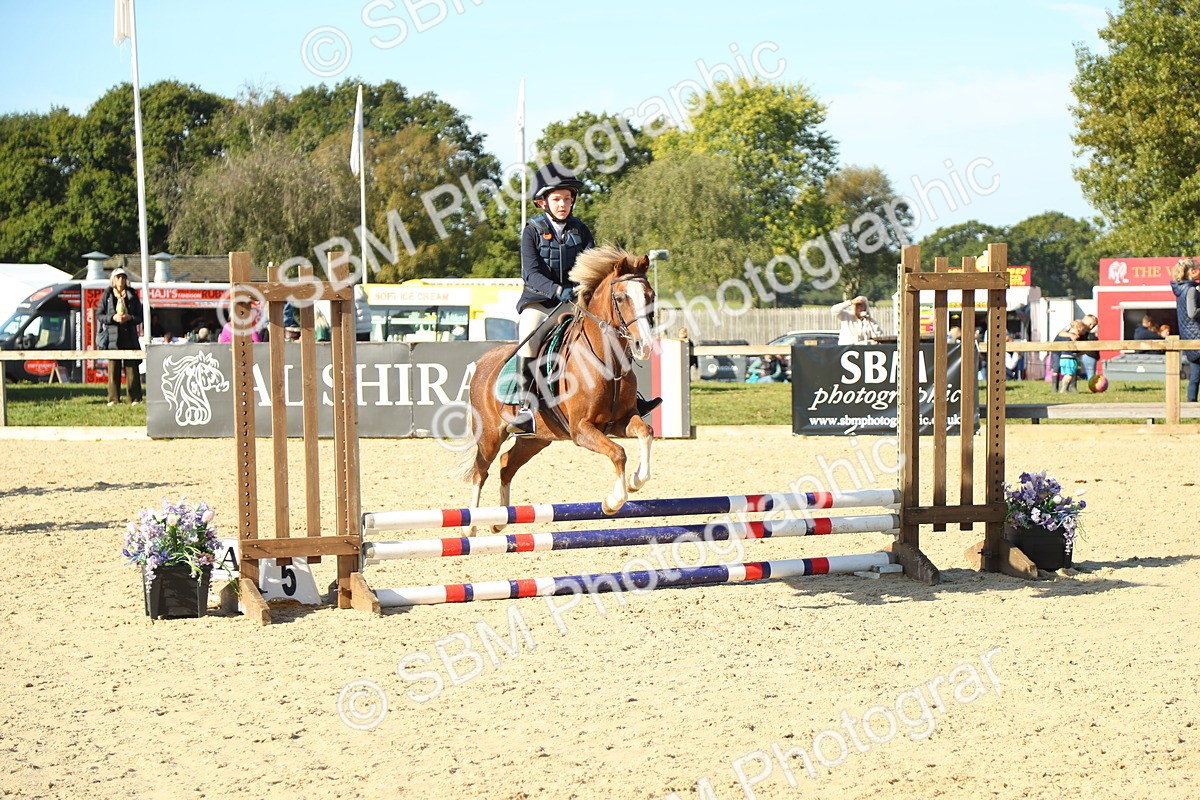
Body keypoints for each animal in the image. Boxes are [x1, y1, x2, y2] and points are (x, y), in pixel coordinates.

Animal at [453, 246, 657, 533]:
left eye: (651, 296)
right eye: (620, 297)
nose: (645, 346)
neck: (607, 361)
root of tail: (483, 362)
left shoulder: (621, 421)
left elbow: (645, 432)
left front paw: (636, 480)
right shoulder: (581, 429)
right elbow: (618, 453)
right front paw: (613, 501)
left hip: (536, 438)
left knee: (506, 464)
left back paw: (501, 521)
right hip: (490, 434)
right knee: (480, 470)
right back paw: (470, 526)